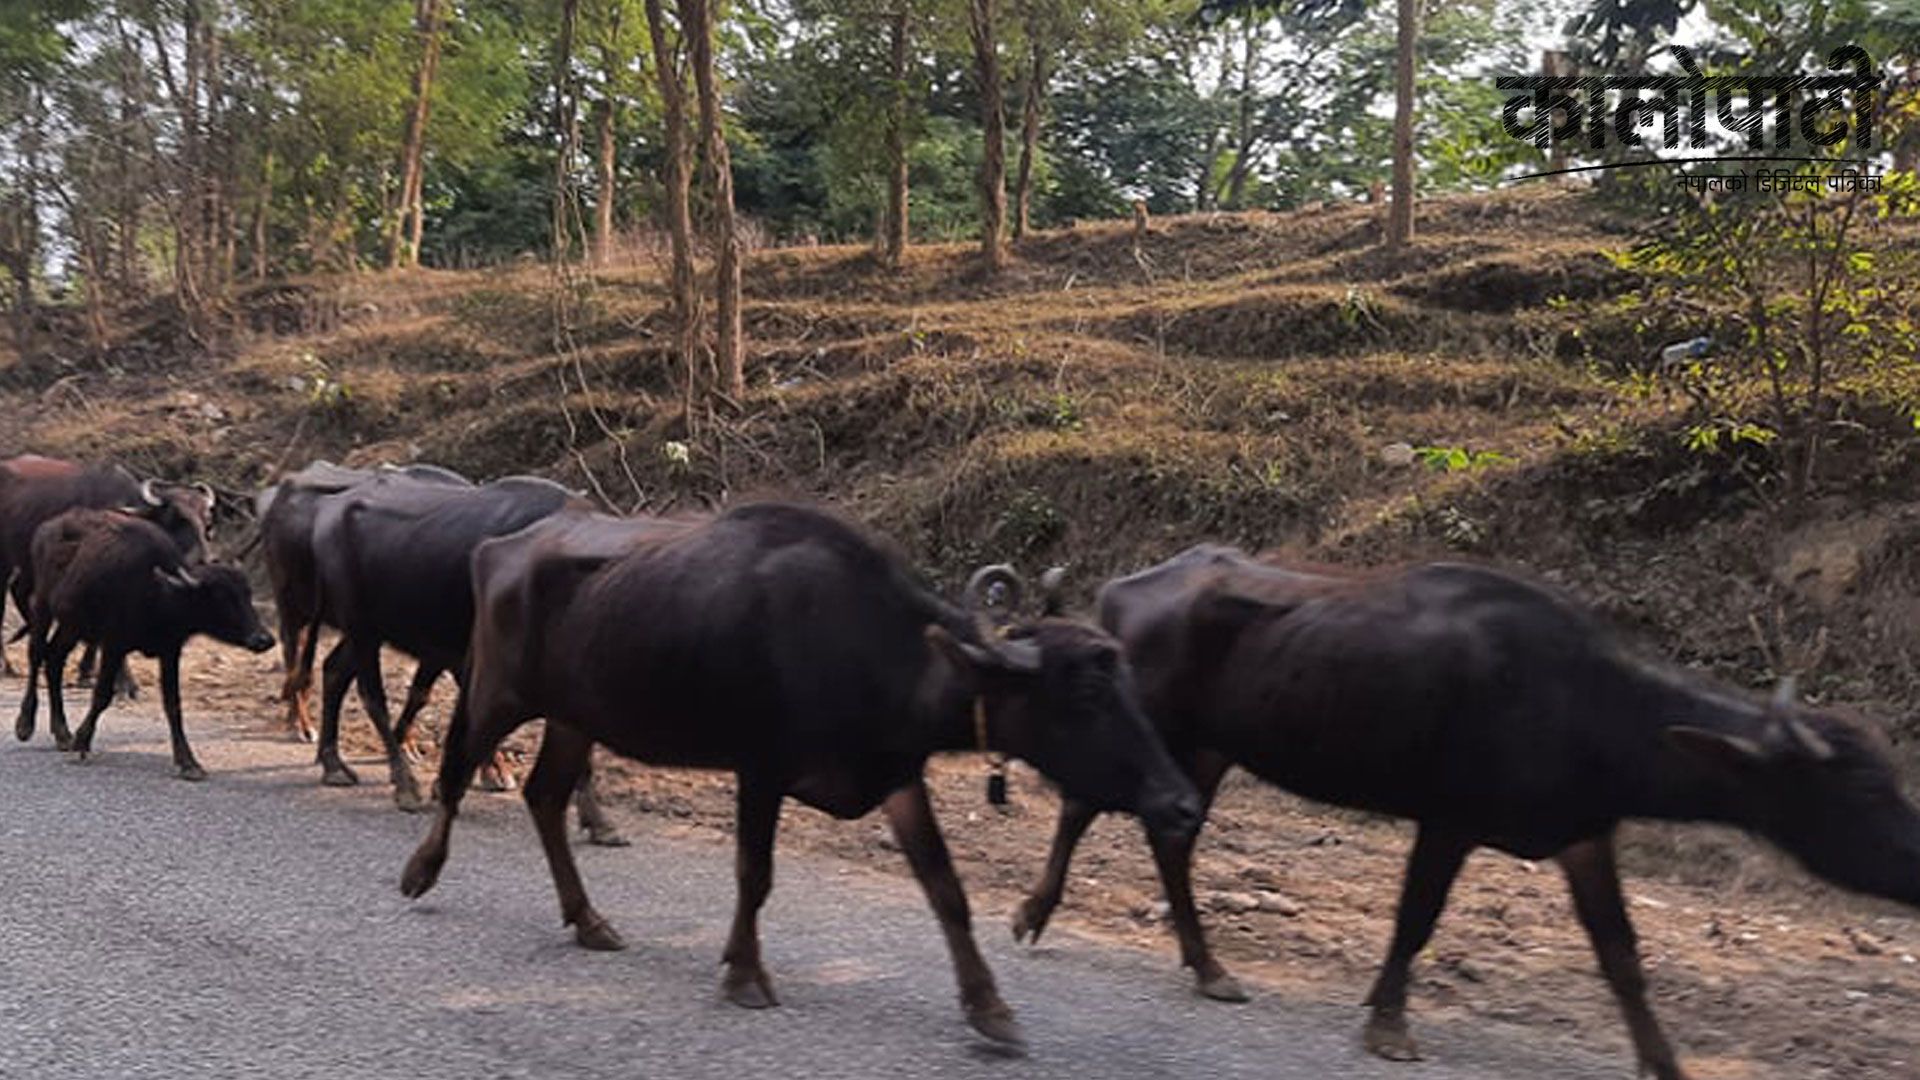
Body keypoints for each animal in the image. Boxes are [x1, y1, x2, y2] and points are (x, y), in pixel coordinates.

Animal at [12, 507, 274, 772]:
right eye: (220, 597)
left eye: (247, 594)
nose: (264, 639)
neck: (158, 593)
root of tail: (49, 527)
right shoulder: (113, 645)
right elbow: (102, 695)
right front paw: (82, 741)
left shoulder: (170, 650)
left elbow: (172, 704)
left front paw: (187, 761)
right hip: (42, 605)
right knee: (36, 653)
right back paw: (25, 724)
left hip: (72, 625)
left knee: (54, 660)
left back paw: (62, 733)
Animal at [307, 472, 610, 834]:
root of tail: (330, 511)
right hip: (360, 627)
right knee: (371, 695)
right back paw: (405, 786)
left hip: (371, 631)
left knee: (334, 670)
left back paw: (333, 763)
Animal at [397, 503, 1198, 1045]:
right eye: (1085, 694)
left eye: (1125, 679)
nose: (1181, 802)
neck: (875, 650)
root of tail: (499, 547)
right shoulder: (761, 769)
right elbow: (755, 874)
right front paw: (745, 973)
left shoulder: (896, 777)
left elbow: (946, 888)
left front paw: (989, 1006)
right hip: (497, 692)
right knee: (457, 766)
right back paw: (422, 869)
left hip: (573, 717)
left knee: (545, 797)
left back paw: (590, 919)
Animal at [1006, 545, 1920, 1076]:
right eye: (1859, 791)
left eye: (1890, 776)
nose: (1913, 859)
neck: (1585, 704)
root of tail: (1124, 589)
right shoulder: (1447, 821)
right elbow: (1416, 917)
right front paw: (1389, 1022)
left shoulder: (1585, 836)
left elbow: (1622, 954)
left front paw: (1662, 1061)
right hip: (1145, 728)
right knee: (1086, 806)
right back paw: (1035, 914)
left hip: (1207, 750)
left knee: (1172, 838)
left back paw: (1209, 967)